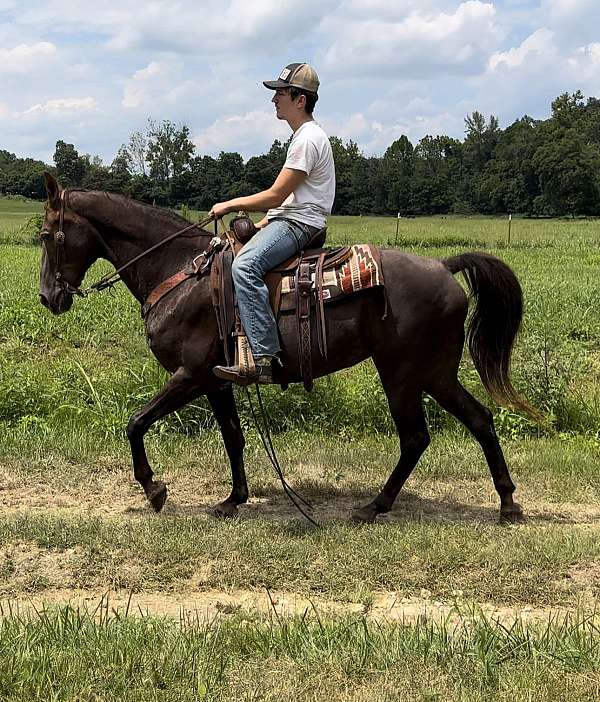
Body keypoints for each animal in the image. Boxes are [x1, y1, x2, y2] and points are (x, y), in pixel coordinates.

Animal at [39, 173, 532, 524]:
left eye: (46, 235)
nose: (47, 297)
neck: (180, 272)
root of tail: (445, 267)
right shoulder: (215, 382)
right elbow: (233, 437)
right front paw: (232, 500)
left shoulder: (190, 375)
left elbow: (136, 423)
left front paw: (154, 489)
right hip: (434, 373)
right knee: (479, 420)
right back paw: (506, 503)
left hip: (404, 374)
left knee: (416, 437)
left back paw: (375, 506)